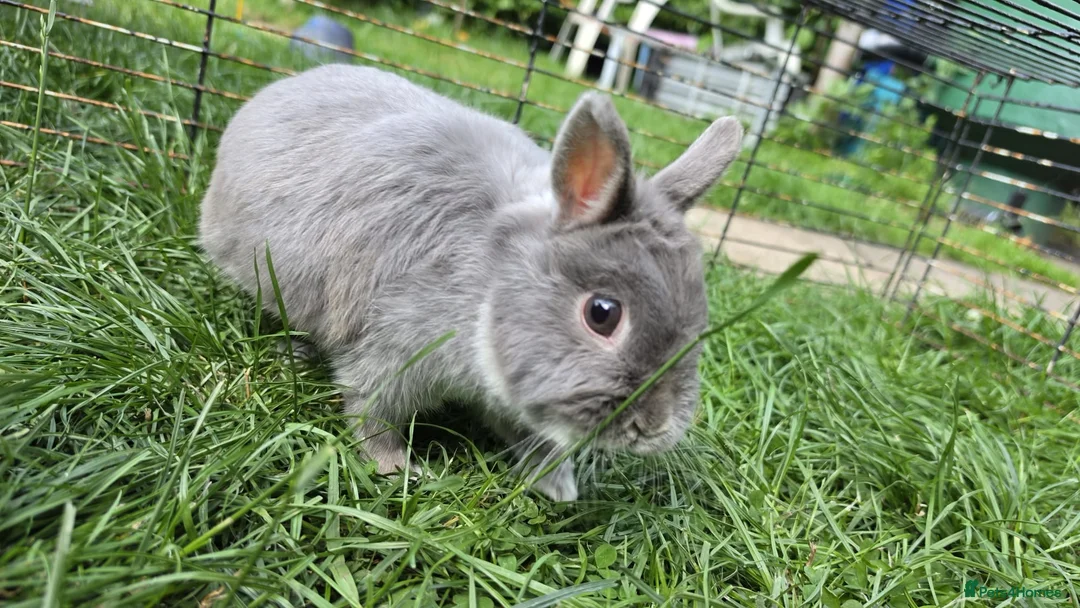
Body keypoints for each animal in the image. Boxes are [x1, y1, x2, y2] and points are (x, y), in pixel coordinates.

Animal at [199, 64, 743, 501]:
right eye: (602, 314)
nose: (653, 426)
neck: (487, 281)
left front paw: (557, 484)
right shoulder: (390, 352)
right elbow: (370, 412)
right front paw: (398, 470)